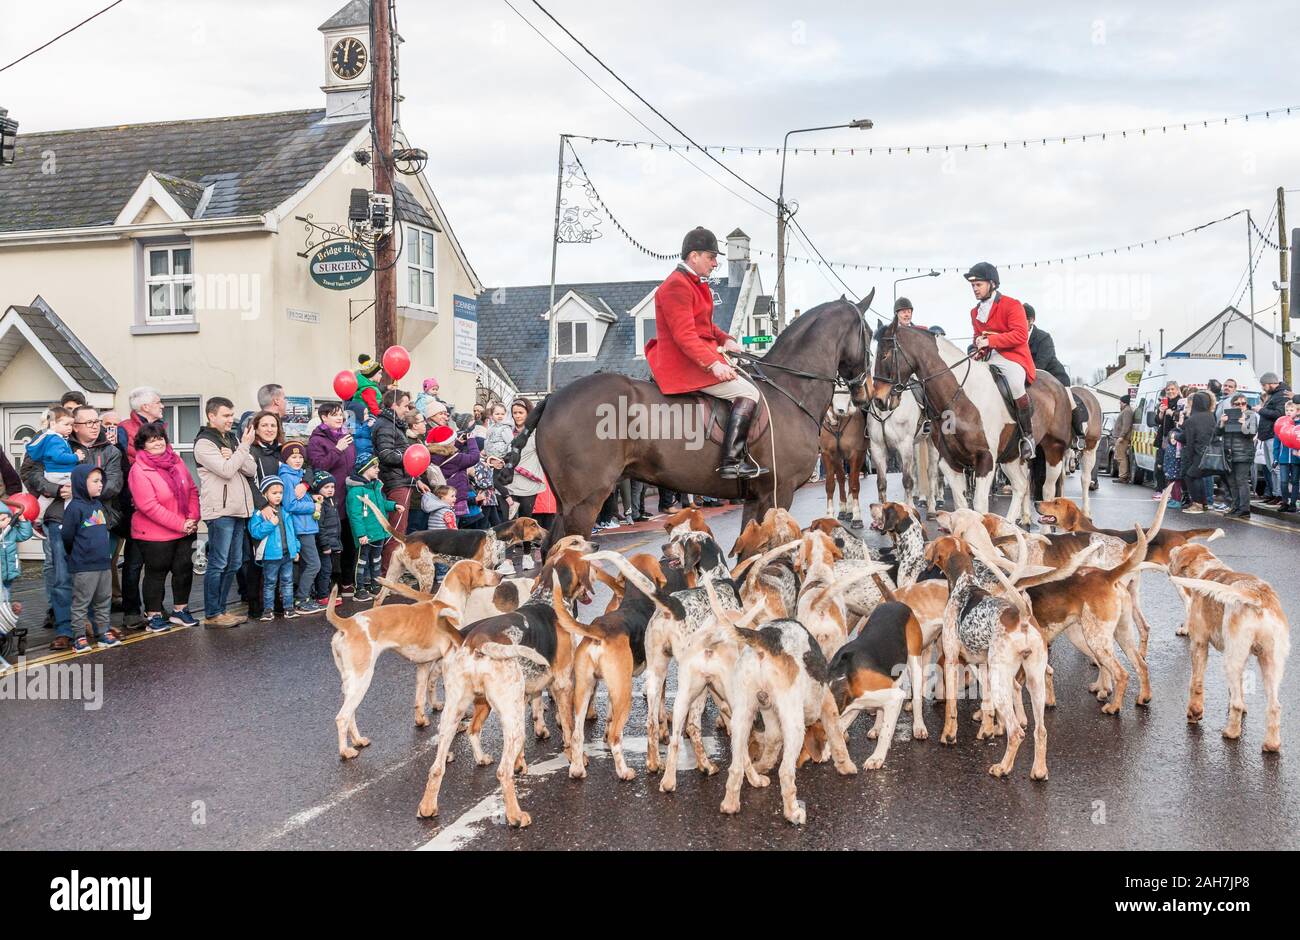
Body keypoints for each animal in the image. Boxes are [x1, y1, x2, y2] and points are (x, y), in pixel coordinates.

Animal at [816, 390, 868, 530]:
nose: (841, 410)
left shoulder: (856, 453)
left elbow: (854, 484)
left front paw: (857, 517)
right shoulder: (828, 454)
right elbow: (830, 484)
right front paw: (829, 515)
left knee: (852, 478)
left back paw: (850, 510)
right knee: (841, 478)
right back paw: (844, 510)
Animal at [868, 319, 1071, 525]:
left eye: (884, 355)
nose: (879, 401)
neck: (960, 396)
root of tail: (1056, 383)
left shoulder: (985, 459)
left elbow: (980, 506)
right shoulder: (950, 461)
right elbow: (961, 505)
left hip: (1054, 448)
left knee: (1047, 490)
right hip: (1011, 455)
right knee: (1021, 486)